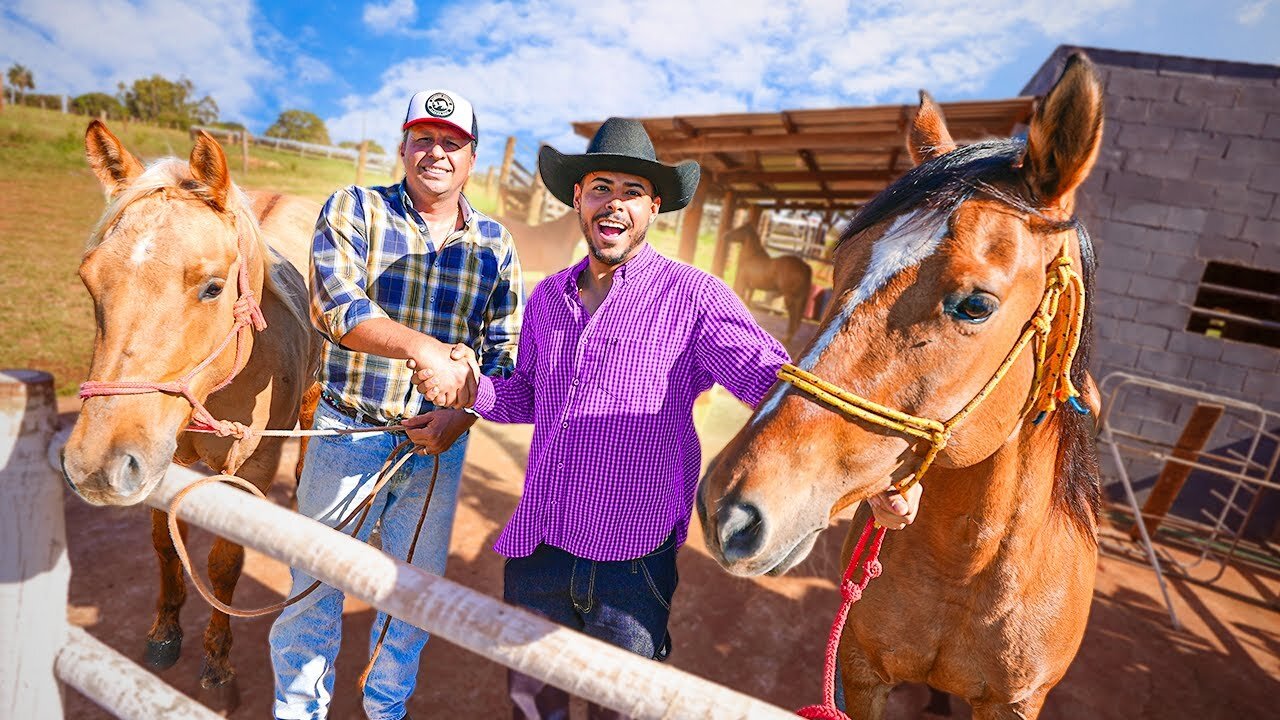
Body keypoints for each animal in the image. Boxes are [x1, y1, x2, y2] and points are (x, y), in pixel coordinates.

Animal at [58, 120, 320, 707]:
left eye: (213, 287)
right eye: (88, 279)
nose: (94, 465)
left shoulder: (251, 470)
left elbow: (225, 563)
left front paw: (217, 661)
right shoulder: (159, 460)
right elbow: (163, 545)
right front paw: (165, 632)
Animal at [696, 51, 1105, 717]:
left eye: (975, 305)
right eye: (839, 267)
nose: (726, 511)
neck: (968, 567)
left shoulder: (1015, 702)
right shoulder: (862, 673)